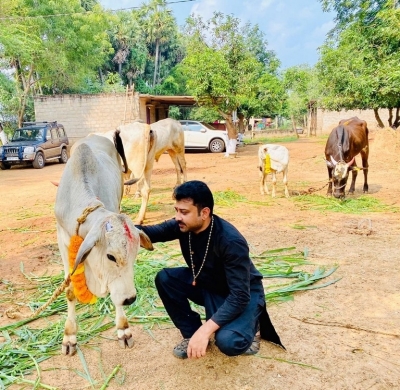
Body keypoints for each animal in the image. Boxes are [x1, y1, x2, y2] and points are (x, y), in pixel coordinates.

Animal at [57, 133, 154, 356]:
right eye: (111, 256)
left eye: (135, 256)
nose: (130, 299)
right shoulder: (62, 240)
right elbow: (70, 291)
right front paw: (69, 337)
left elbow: (114, 293)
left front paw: (123, 329)